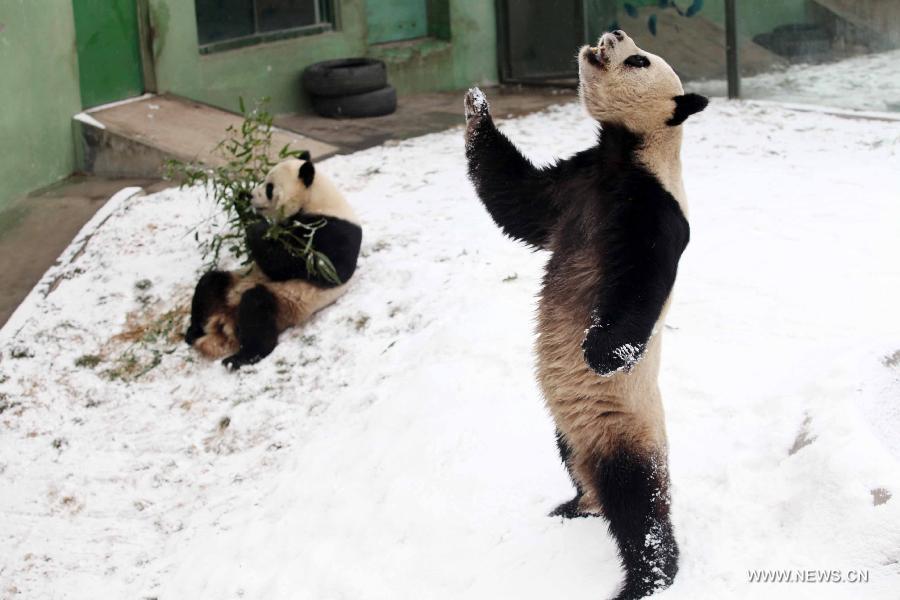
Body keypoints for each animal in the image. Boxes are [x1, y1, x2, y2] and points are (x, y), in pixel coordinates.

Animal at [184, 153, 362, 370]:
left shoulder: (332, 233)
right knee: (210, 282)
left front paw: (256, 223)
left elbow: (293, 265)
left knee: (257, 306)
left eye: (269, 188)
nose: (251, 195)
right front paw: (240, 198)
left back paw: (242, 357)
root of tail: (226, 321)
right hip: (235, 284)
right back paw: (193, 332)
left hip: (287, 306)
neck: (315, 200)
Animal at [463, 30, 706, 600]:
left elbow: (641, 288)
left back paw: (648, 580)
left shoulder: (653, 208)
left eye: (638, 59)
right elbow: (516, 197)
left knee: (640, 508)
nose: (612, 34)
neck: (631, 149)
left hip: (624, 425)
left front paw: (598, 353)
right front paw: (477, 105)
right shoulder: (577, 180)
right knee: (576, 465)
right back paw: (576, 505)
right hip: (567, 429)